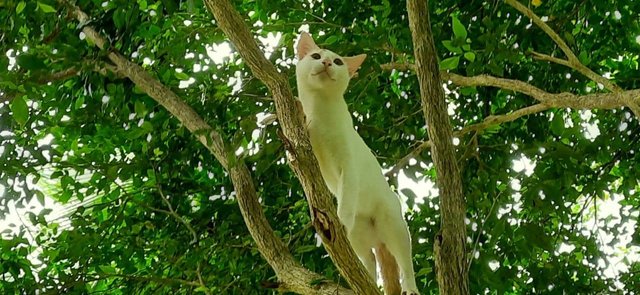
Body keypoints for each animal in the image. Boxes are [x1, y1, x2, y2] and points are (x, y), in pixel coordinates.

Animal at [296, 32, 420, 295]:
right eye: (316, 56)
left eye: (338, 61)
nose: (327, 63)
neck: (322, 112)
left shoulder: (349, 167)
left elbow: (345, 202)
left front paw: (340, 219)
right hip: (359, 237)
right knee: (368, 261)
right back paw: (366, 282)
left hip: (394, 225)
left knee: (405, 262)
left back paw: (410, 288)